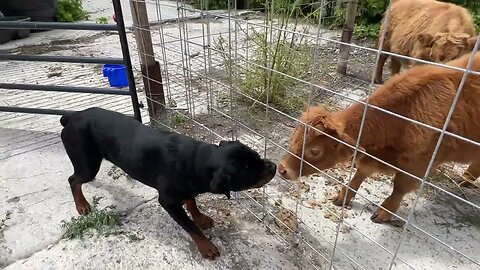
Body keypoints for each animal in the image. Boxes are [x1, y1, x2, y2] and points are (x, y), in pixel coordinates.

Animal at [59, 107, 278, 260]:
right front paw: (206, 246)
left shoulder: (188, 186)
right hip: (88, 165)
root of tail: (72, 117)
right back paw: (82, 205)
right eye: (252, 172)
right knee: (73, 180)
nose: (274, 166)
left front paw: (200, 217)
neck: (197, 160)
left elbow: (192, 202)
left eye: (258, 157)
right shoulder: (168, 201)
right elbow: (190, 226)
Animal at [278, 51, 480, 227]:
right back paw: (464, 180)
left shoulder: (417, 165)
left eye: (314, 151)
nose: (282, 169)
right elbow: (360, 173)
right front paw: (343, 196)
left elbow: (399, 188)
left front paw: (384, 212)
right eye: (294, 138)